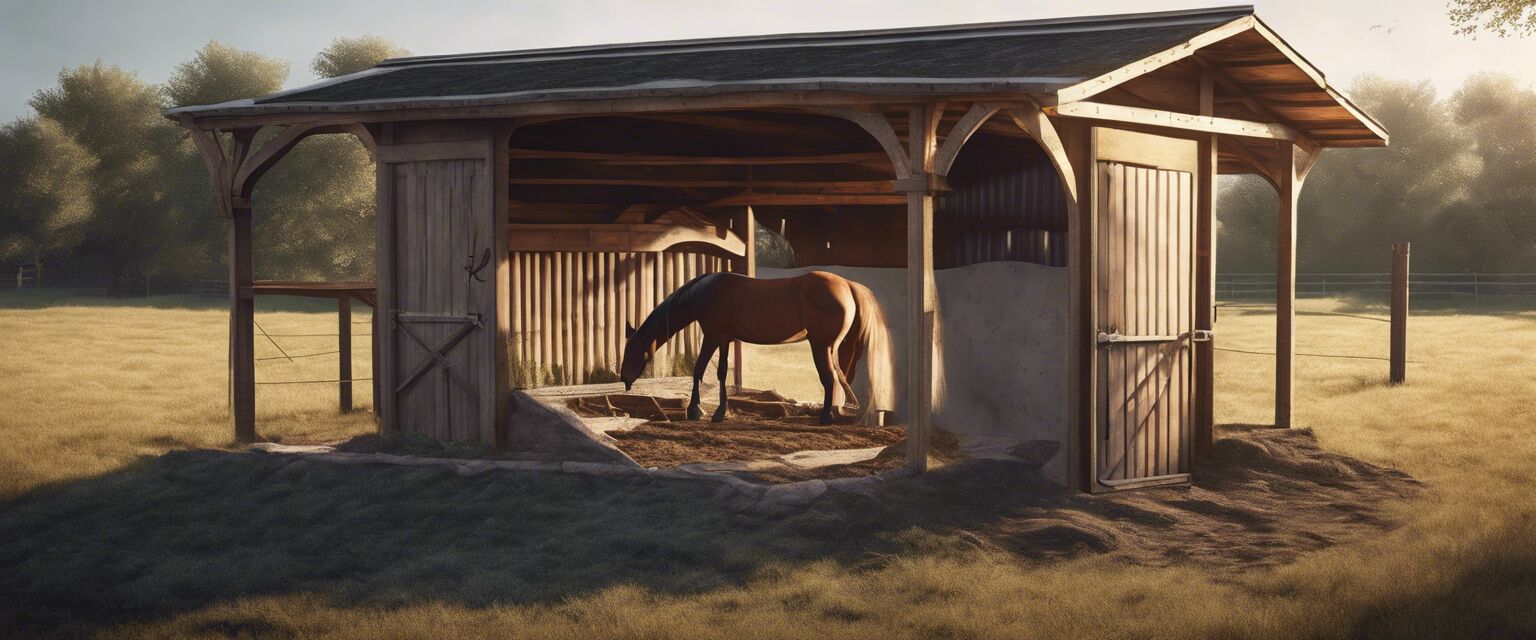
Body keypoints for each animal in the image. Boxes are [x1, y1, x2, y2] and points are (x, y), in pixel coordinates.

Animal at [617, 270, 897, 423]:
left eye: (631, 351)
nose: (624, 379)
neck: (707, 293)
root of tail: (847, 285)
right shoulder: (725, 339)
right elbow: (721, 373)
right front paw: (719, 412)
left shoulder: (712, 337)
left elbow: (699, 370)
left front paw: (695, 410)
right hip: (833, 348)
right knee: (839, 379)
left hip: (820, 346)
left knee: (829, 379)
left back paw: (826, 417)